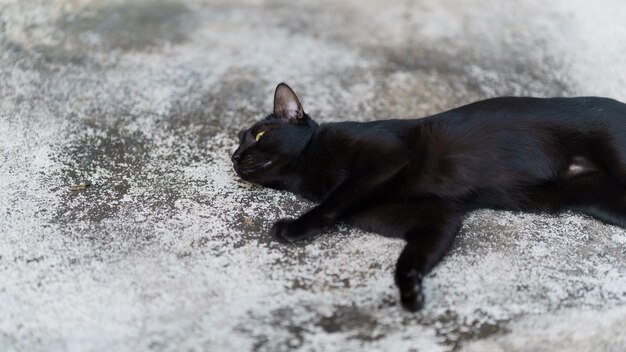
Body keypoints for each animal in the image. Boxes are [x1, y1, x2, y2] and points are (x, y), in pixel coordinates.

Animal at [230, 84, 624, 312]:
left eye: (259, 135)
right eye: (237, 141)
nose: (233, 156)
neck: (311, 176)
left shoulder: (385, 160)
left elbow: (334, 201)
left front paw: (295, 227)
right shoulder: (437, 215)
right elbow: (411, 259)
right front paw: (411, 293)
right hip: (600, 198)